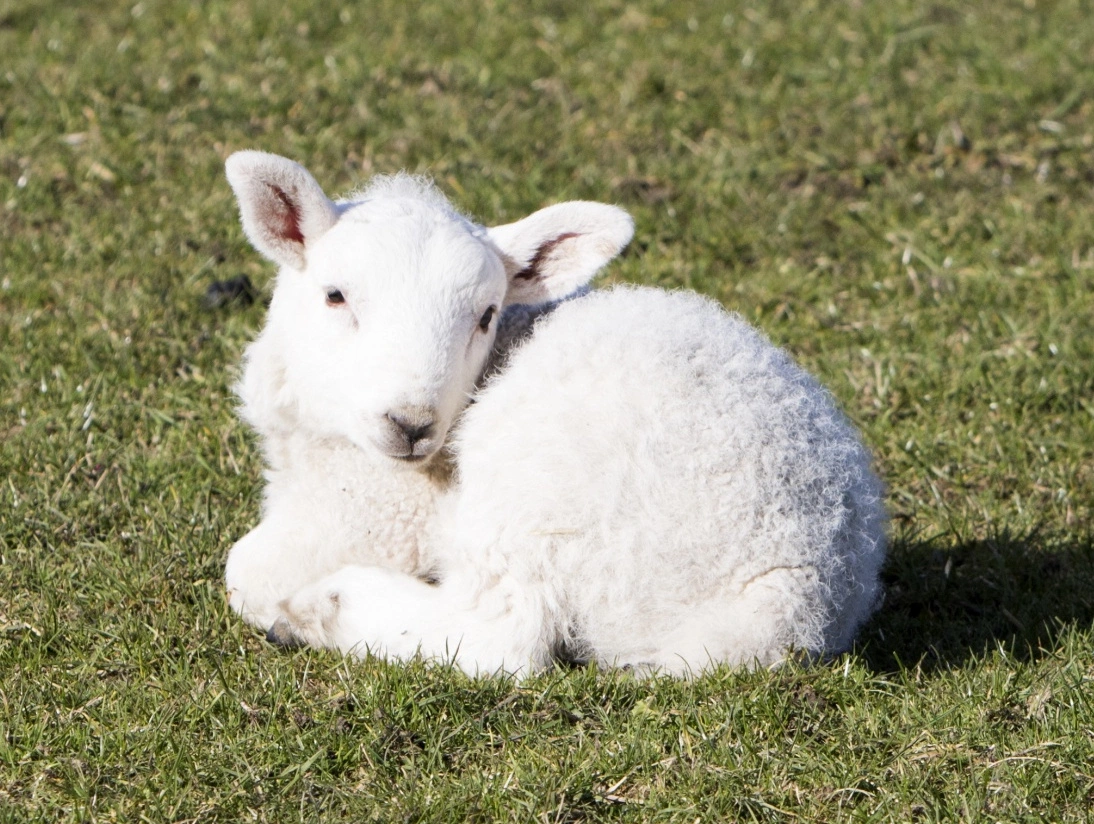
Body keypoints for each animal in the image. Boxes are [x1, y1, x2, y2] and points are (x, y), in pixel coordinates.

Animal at [223, 150, 887, 676]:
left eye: (487, 315)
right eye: (335, 296)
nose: (412, 425)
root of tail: (792, 599)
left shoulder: (379, 511)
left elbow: (246, 570)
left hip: (538, 493)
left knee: (504, 636)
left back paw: (325, 609)